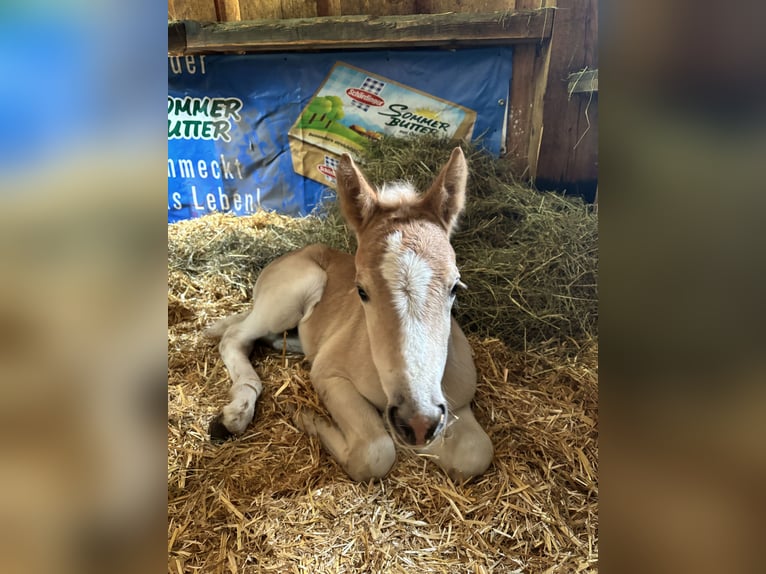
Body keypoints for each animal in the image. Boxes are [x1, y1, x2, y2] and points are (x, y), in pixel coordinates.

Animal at [207, 147, 496, 482]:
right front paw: (305, 416)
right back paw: (234, 414)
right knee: (235, 337)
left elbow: (475, 454)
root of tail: (289, 255)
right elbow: (376, 451)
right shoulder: (329, 375)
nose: (417, 422)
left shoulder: (458, 402)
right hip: (292, 293)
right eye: (361, 291)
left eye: (454, 287)